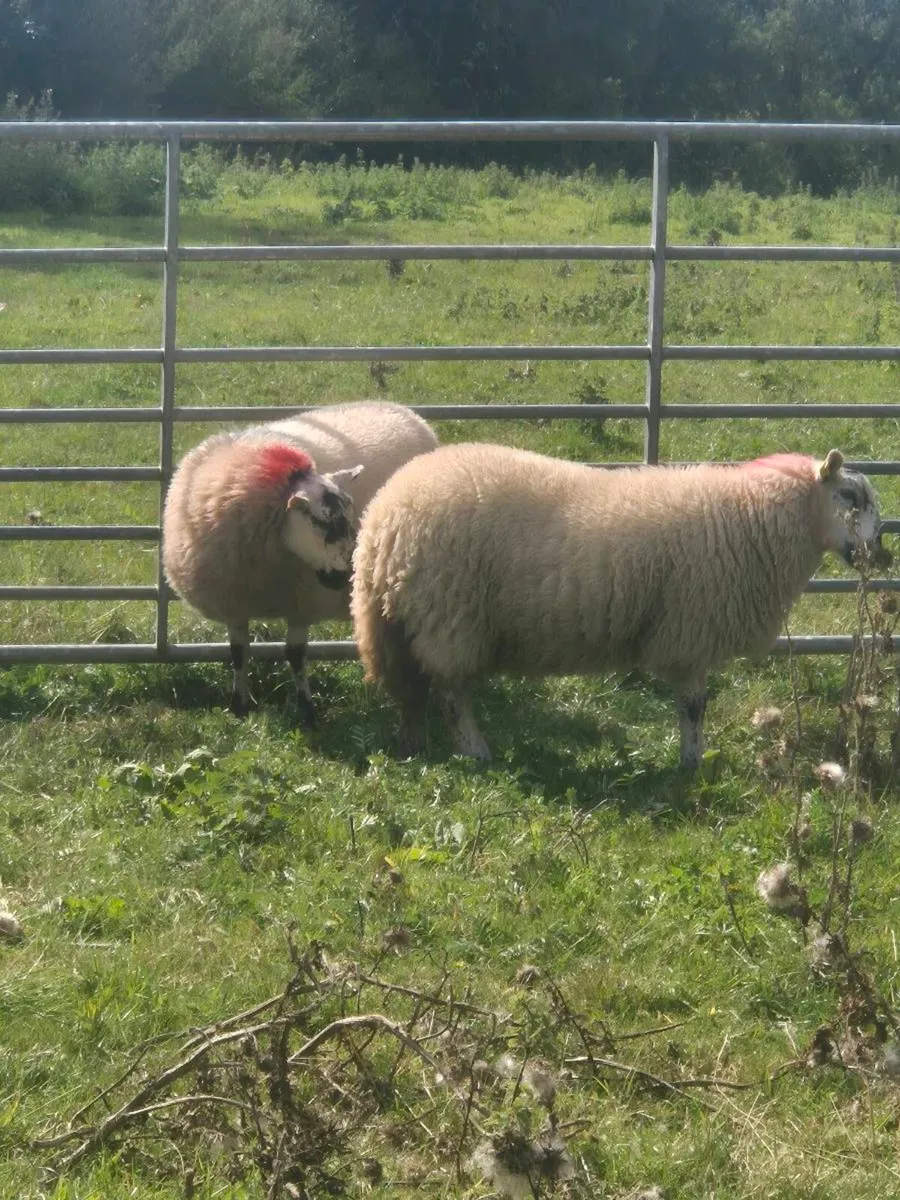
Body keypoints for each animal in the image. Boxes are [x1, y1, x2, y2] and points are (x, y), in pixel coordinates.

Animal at [163, 401, 438, 720]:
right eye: (317, 520)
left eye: (351, 512)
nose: (346, 576)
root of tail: (401, 409)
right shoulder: (234, 603)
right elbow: (238, 653)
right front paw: (239, 704)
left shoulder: (303, 605)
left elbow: (295, 654)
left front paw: (306, 709)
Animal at [350, 444, 889, 768]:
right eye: (848, 495)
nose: (880, 555)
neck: (755, 516)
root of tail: (382, 517)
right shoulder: (689, 630)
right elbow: (694, 705)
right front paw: (692, 763)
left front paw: (696, 756)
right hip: (449, 616)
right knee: (451, 692)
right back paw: (476, 750)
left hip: (409, 620)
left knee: (414, 688)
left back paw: (415, 742)